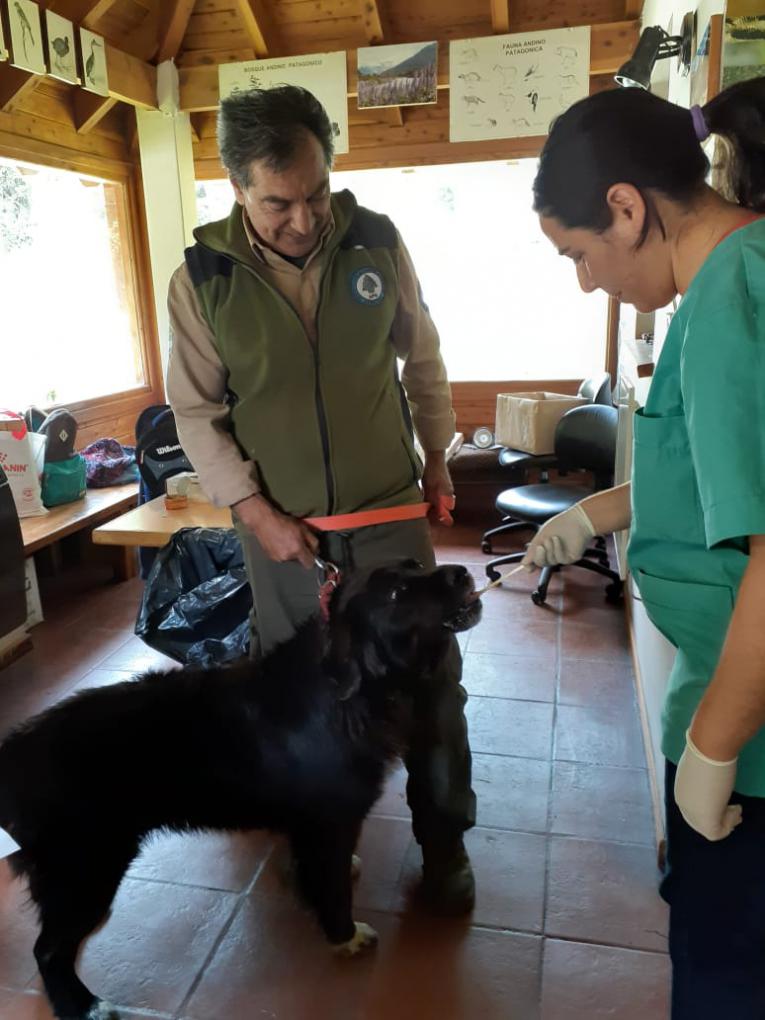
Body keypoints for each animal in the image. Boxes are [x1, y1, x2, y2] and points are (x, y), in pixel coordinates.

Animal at [0, 563, 479, 1015]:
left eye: (415, 563)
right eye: (398, 593)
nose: (462, 572)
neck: (345, 694)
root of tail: (13, 751)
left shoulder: (311, 826)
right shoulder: (329, 821)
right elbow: (334, 887)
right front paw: (344, 935)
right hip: (86, 868)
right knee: (47, 951)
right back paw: (81, 1006)